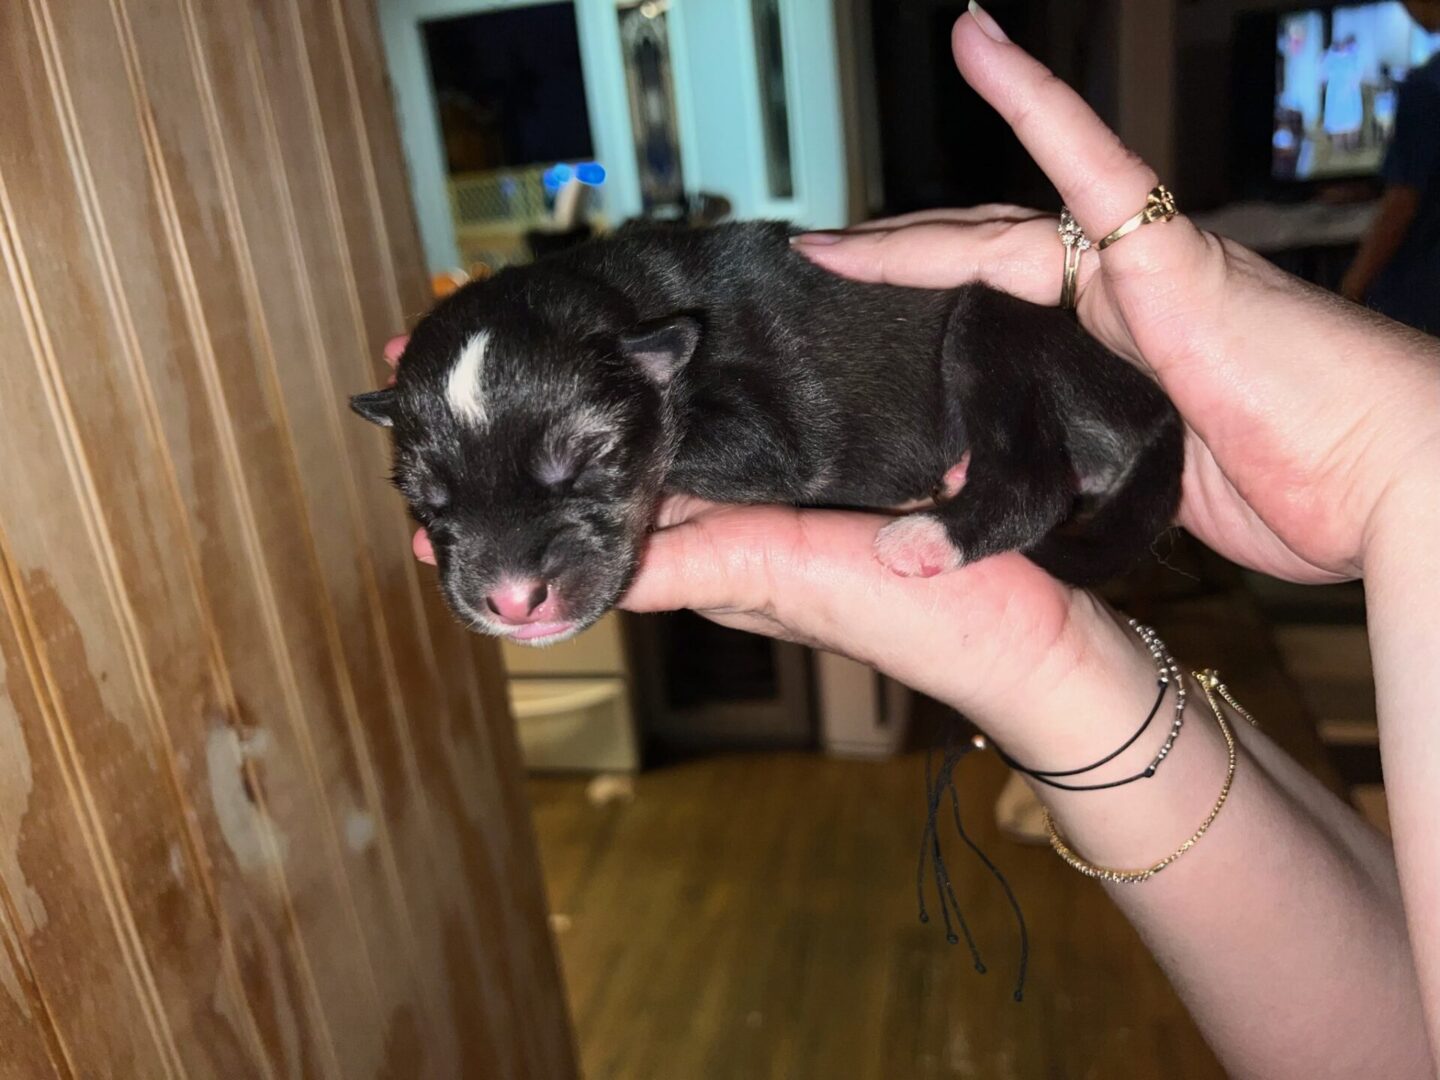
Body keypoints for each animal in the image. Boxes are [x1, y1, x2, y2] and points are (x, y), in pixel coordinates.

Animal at [351, 220, 1180, 642]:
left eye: (588, 460)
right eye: (428, 501)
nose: (516, 602)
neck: (624, 297)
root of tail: (1156, 406)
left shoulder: (780, 433)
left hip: (994, 319)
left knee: (1034, 480)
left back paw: (929, 536)